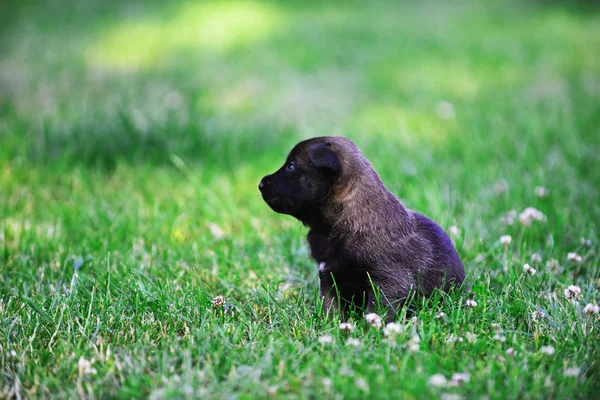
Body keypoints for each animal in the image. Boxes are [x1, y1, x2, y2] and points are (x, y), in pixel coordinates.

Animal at [258, 136, 464, 318]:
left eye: (291, 166)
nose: (260, 183)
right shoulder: (329, 279)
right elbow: (331, 311)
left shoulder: (388, 282)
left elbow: (377, 311)